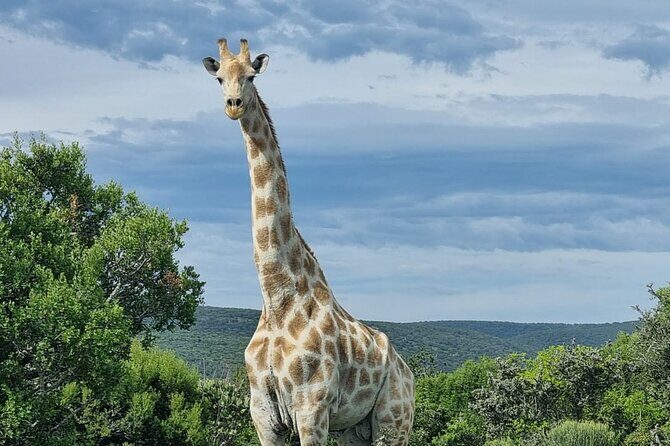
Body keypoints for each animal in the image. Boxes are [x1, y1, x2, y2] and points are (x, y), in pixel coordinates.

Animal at [203, 38, 415, 446]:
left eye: (251, 76)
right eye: (219, 78)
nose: (233, 105)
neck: (276, 298)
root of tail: (408, 371)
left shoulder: (311, 409)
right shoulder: (263, 414)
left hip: (394, 422)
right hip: (354, 429)